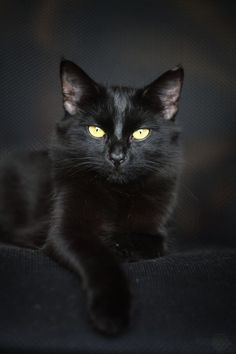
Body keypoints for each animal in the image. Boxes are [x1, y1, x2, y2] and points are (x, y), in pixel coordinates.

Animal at [0, 60, 183, 334]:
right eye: (96, 131)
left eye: (141, 133)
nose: (117, 157)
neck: (118, 191)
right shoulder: (67, 230)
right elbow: (99, 259)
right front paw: (111, 312)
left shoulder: (155, 230)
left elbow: (149, 242)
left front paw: (118, 244)